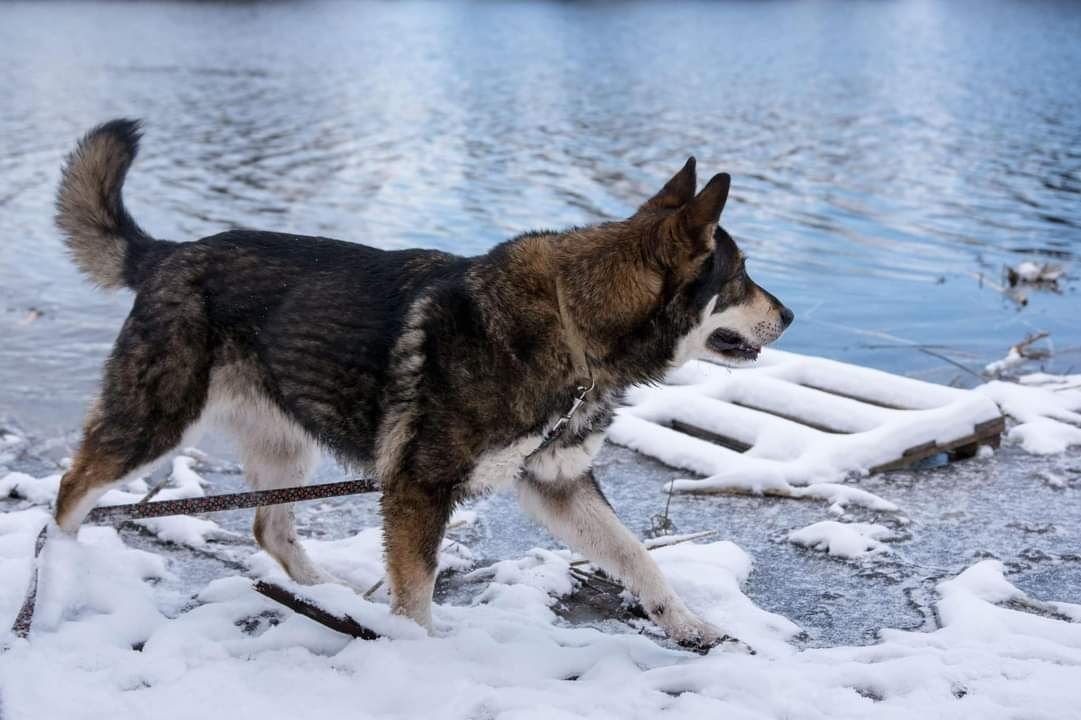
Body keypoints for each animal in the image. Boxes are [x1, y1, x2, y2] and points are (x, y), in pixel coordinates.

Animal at [52, 120, 795, 648]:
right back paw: (57, 577)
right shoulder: (417, 489)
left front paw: (688, 624)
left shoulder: (558, 486)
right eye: (738, 278)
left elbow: (638, 557)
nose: (788, 315)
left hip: (285, 444)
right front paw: (415, 660)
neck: (575, 326)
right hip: (151, 422)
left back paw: (329, 599)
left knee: (270, 528)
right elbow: (417, 598)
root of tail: (168, 254)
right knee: (70, 494)